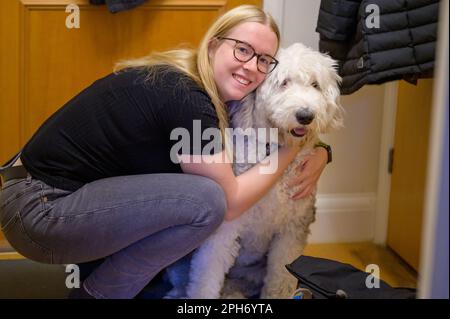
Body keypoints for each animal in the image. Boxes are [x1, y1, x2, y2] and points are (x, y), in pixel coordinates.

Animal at [165, 42, 344, 300]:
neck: (273, 152)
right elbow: (205, 279)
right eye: (284, 82)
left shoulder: (290, 232)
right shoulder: (225, 231)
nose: (305, 115)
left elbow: (281, 277)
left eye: (315, 85)